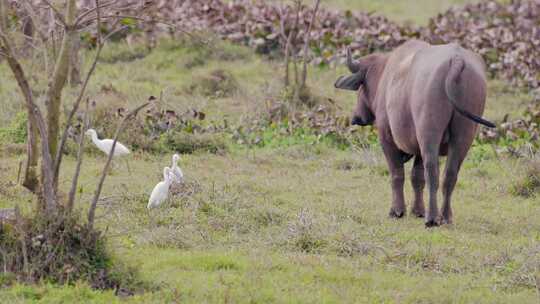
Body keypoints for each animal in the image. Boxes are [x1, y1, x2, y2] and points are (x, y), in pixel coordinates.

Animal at [336, 39, 496, 226]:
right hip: (464, 136)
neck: (388, 75)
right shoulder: (418, 147)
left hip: (429, 133)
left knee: (432, 171)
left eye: (361, 86)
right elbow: (417, 178)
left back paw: (432, 218)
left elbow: (397, 174)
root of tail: (456, 59)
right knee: (450, 175)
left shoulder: (386, 137)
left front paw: (397, 211)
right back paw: (445, 217)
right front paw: (417, 210)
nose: (356, 117)